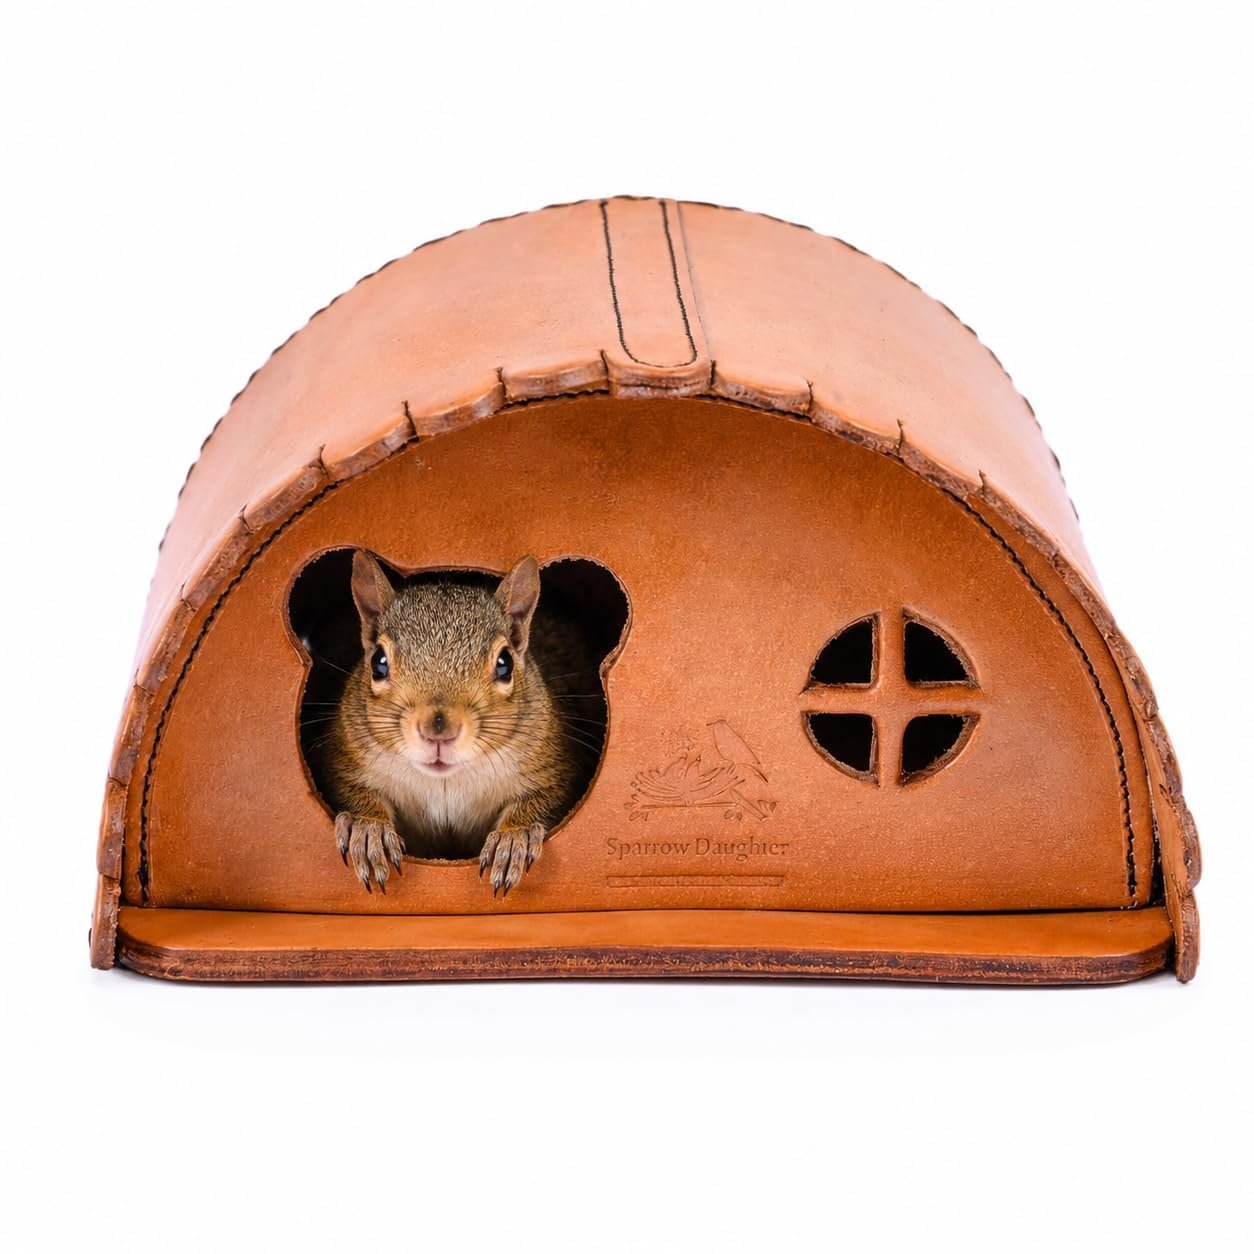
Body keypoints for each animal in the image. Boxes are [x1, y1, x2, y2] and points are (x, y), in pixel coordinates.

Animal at [311, 552, 600, 897]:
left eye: (505, 664)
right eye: (378, 662)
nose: (438, 729)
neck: (446, 781)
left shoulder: (554, 768)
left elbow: (544, 803)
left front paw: (514, 837)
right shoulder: (345, 760)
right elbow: (351, 792)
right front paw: (367, 828)